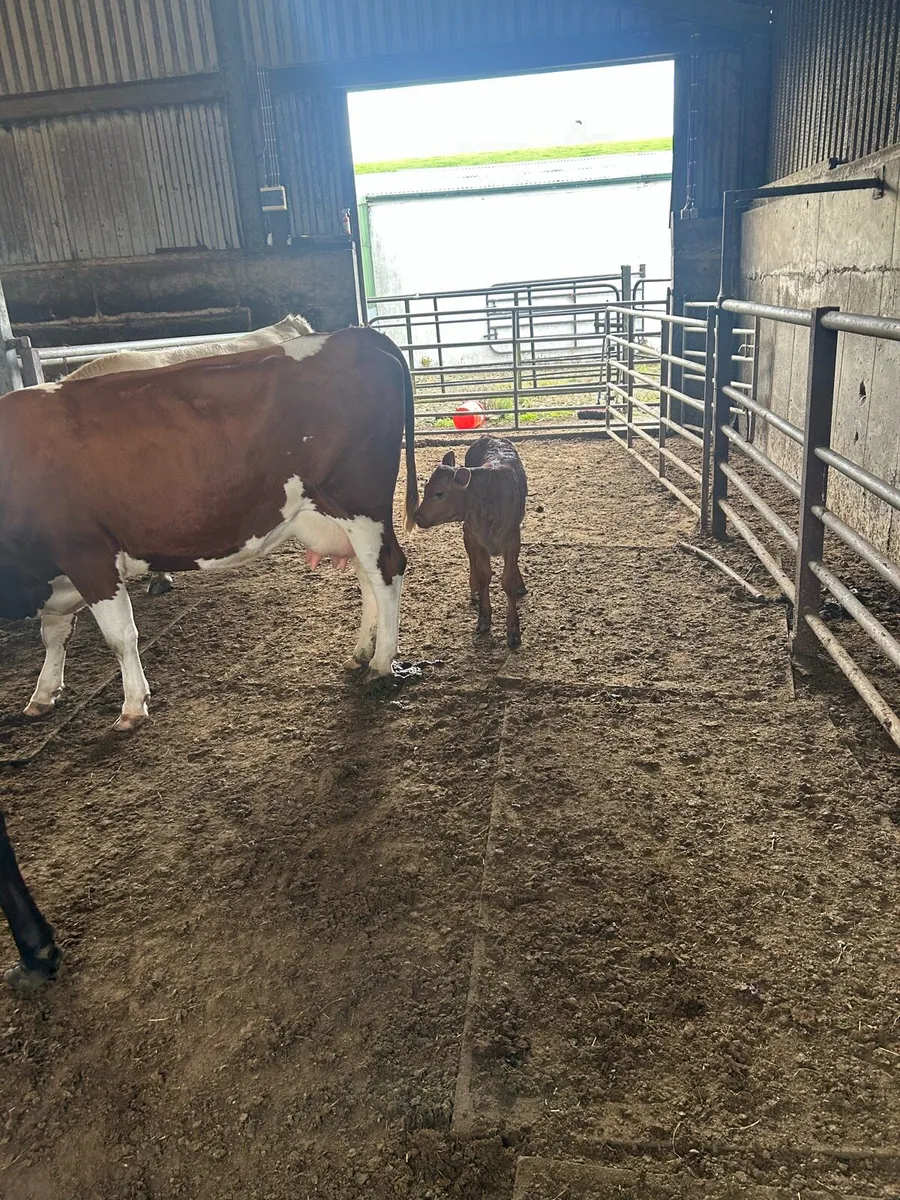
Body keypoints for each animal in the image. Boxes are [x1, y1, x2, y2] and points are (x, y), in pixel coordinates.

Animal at [413, 436, 527, 648]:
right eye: (425, 489)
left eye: (439, 493)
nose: (417, 517)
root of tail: (489, 437)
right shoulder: (477, 538)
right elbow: (484, 576)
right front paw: (484, 618)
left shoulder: (512, 539)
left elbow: (508, 581)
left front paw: (513, 630)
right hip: (467, 533)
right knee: (471, 559)